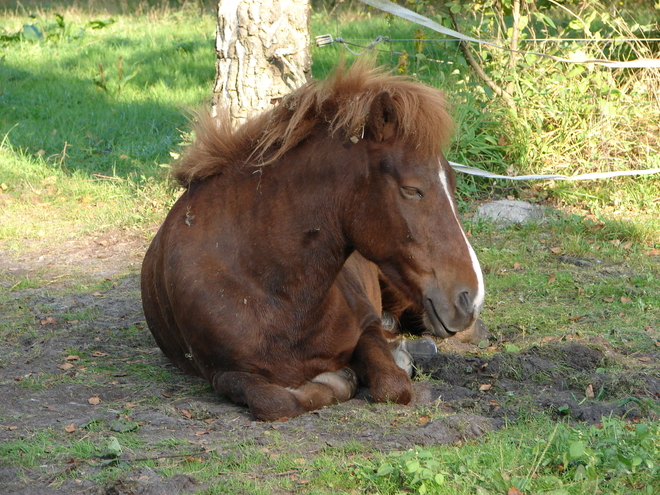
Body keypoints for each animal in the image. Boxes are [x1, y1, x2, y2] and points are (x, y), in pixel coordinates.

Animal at [141, 60, 484, 420]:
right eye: (412, 190)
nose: (470, 298)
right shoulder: (223, 373)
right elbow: (274, 401)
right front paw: (339, 380)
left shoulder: (367, 327)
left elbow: (393, 385)